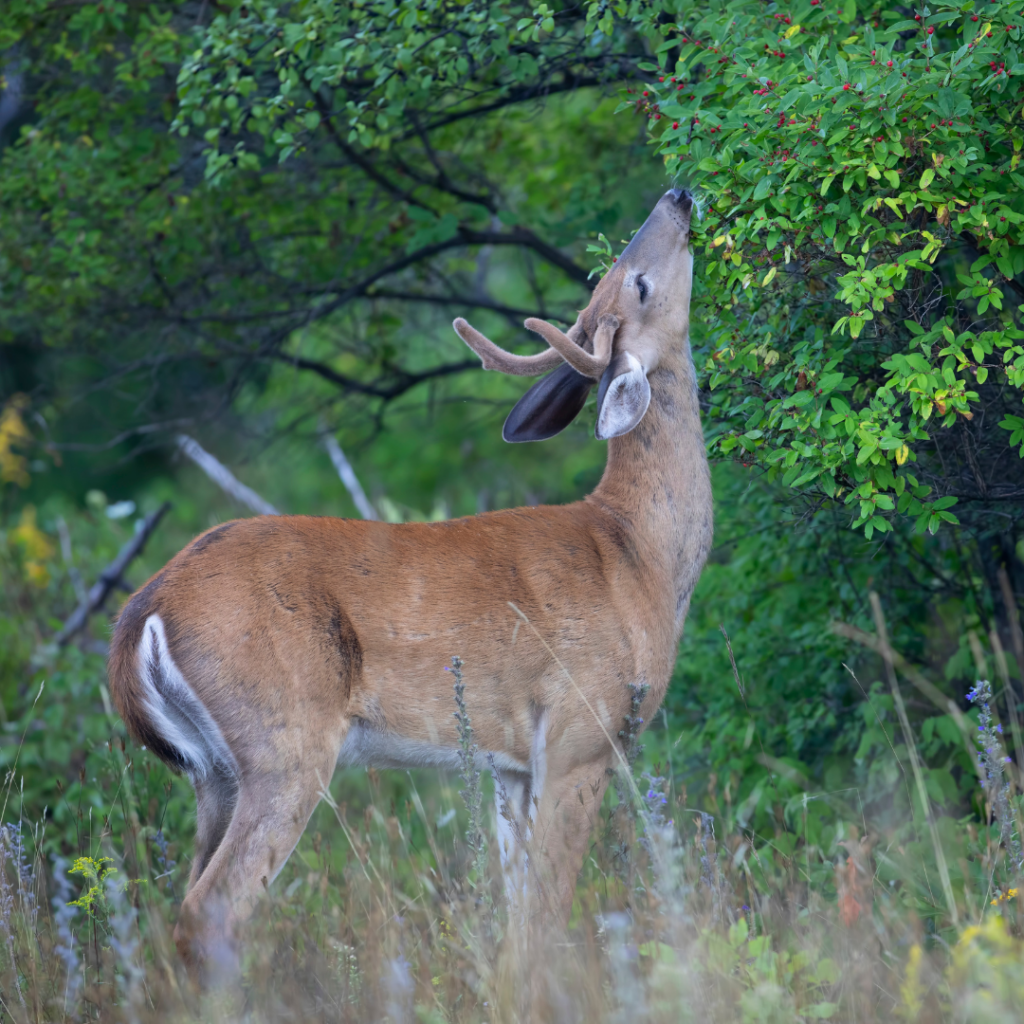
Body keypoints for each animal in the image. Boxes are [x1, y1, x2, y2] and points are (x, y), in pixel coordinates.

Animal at [107, 187, 712, 976]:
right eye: (635, 284)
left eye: (613, 279)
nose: (678, 196)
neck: (639, 552)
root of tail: (139, 615)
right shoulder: (582, 737)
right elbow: (548, 913)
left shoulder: (511, 765)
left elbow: (518, 918)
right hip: (283, 741)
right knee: (211, 910)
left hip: (212, 772)